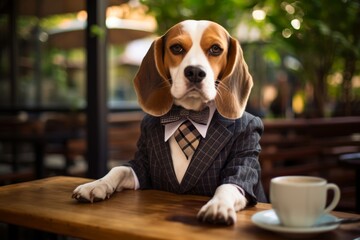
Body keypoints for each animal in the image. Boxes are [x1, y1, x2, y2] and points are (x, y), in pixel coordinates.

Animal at [72, 20, 264, 225]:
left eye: (215, 49)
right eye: (176, 48)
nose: (195, 72)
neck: (187, 116)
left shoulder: (243, 157)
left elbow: (230, 185)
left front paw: (218, 204)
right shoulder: (142, 166)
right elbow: (119, 169)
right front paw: (96, 184)